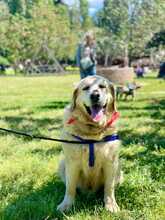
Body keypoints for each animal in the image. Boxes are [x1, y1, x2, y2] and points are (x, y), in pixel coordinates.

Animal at [57, 75, 122, 213]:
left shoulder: (111, 162)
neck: (92, 134)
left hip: (118, 166)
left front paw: (111, 205)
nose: (95, 95)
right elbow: (70, 187)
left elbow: (109, 187)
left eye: (102, 87)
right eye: (86, 88)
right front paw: (66, 204)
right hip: (62, 164)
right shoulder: (72, 162)